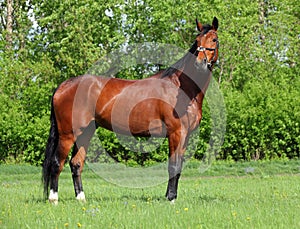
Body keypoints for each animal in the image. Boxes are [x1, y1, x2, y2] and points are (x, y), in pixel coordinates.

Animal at [42, 17, 219, 204]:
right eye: (197, 40)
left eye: (214, 39)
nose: (200, 64)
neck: (181, 87)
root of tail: (63, 85)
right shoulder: (176, 133)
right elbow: (173, 165)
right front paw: (171, 198)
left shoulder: (185, 135)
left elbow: (178, 167)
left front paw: (170, 196)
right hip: (67, 134)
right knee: (57, 163)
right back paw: (53, 199)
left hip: (85, 132)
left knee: (76, 163)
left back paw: (81, 199)